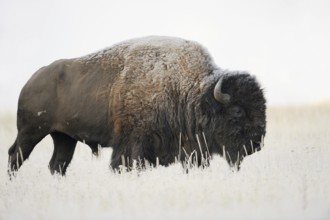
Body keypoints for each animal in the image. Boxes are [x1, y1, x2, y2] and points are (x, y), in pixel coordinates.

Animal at [7, 35, 266, 175]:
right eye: (237, 111)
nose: (257, 143)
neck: (188, 90)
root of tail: (31, 80)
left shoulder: (191, 149)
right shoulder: (131, 144)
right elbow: (125, 164)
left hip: (64, 137)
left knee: (57, 165)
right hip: (31, 131)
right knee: (15, 155)